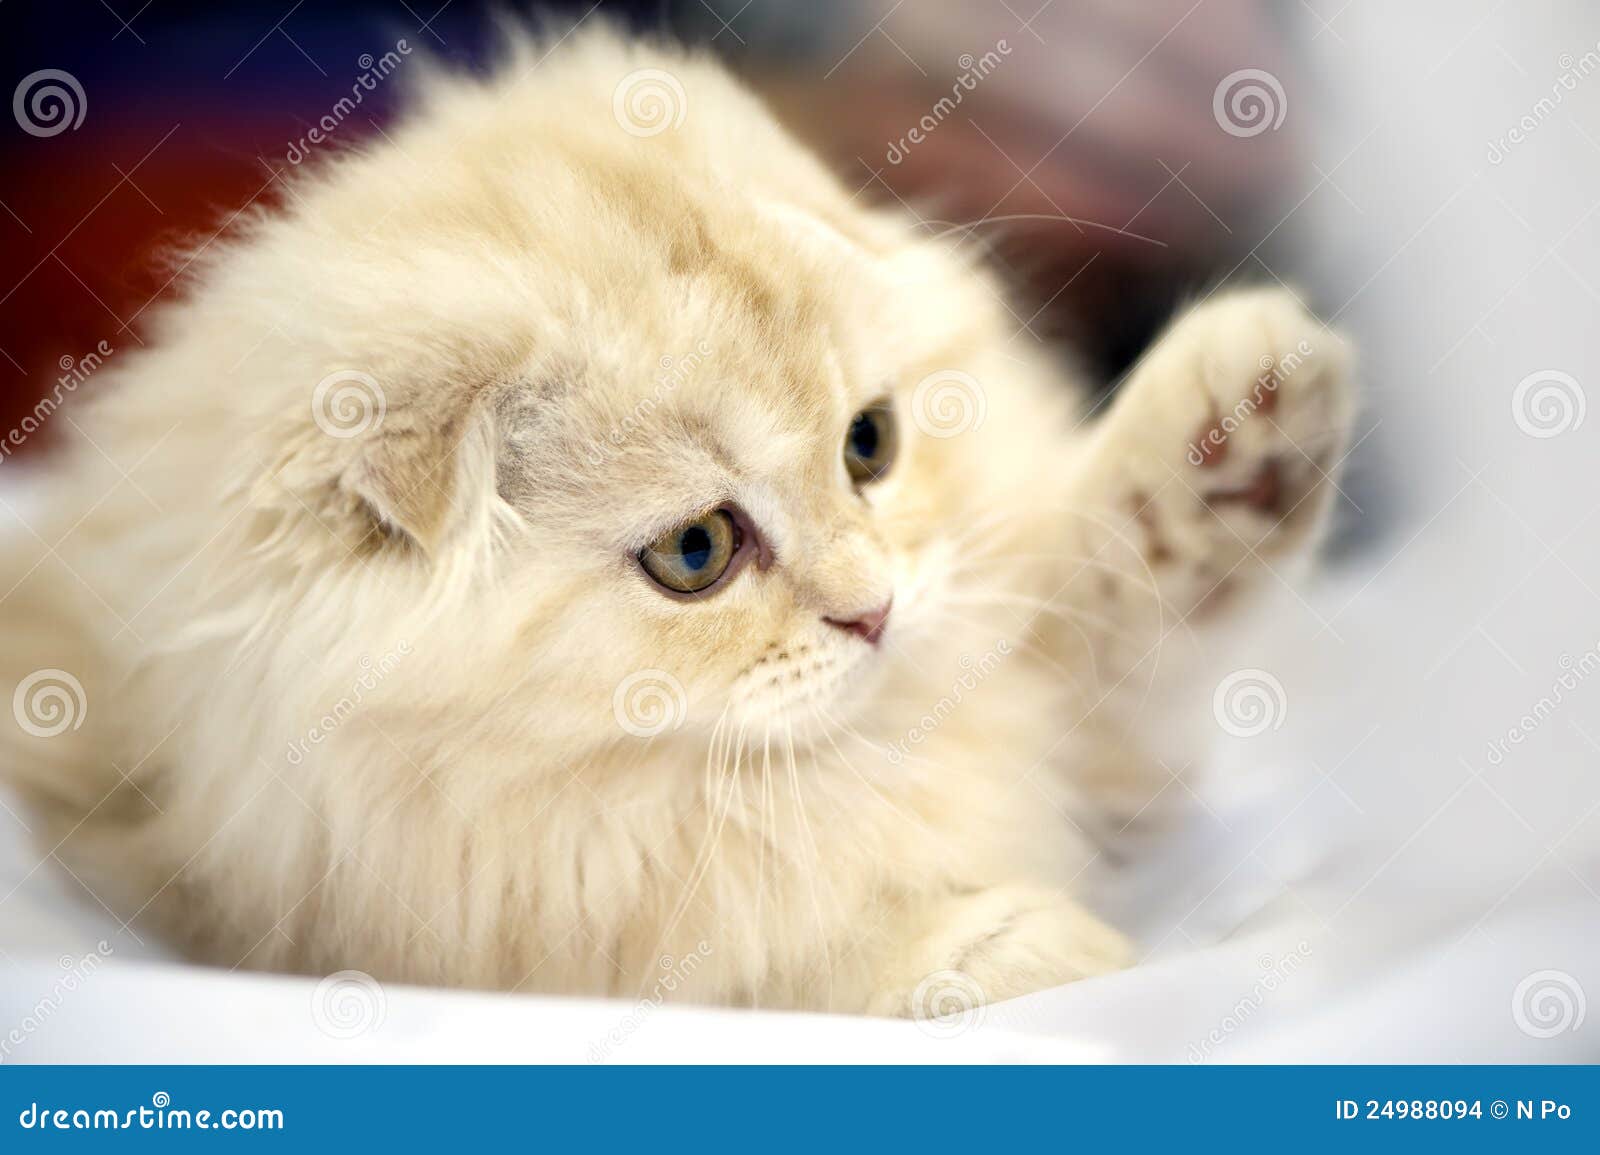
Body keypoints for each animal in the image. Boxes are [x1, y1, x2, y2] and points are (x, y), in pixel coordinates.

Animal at [0, 29, 1350, 1017]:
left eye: (870, 447)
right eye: (694, 554)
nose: (875, 613)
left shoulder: (1064, 707)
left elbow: (1128, 591)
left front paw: (1250, 419)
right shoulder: (442, 921)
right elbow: (789, 961)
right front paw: (1026, 945)